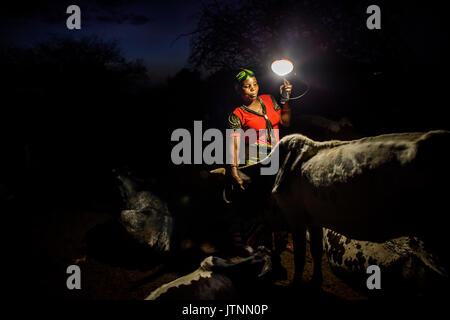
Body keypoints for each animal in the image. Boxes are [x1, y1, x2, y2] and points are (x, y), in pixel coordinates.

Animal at [220, 129, 450, 288]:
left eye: (240, 197)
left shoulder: (296, 218)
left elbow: (300, 256)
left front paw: (296, 283)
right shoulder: (314, 220)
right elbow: (316, 251)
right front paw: (316, 281)